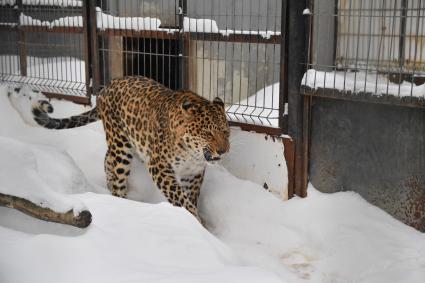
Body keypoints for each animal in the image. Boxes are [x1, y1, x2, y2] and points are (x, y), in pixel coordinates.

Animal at [7, 77, 232, 224]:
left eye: (225, 131)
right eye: (208, 133)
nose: (223, 151)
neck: (192, 153)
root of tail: (107, 87)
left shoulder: (193, 173)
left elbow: (190, 197)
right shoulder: (159, 166)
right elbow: (181, 198)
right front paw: (197, 224)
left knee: (108, 160)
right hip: (121, 145)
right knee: (118, 175)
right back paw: (122, 204)